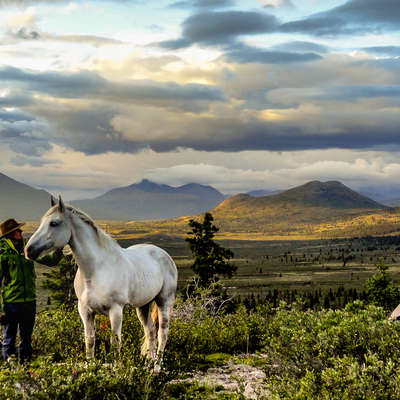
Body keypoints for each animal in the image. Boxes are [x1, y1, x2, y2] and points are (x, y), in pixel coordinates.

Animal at [23, 195, 177, 364]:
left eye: (54, 223)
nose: (28, 250)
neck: (96, 271)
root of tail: (163, 254)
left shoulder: (116, 310)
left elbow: (115, 342)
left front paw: (117, 368)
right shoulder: (85, 311)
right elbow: (90, 341)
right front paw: (91, 367)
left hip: (164, 300)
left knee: (162, 333)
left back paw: (157, 367)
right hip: (143, 306)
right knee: (150, 332)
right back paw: (148, 365)